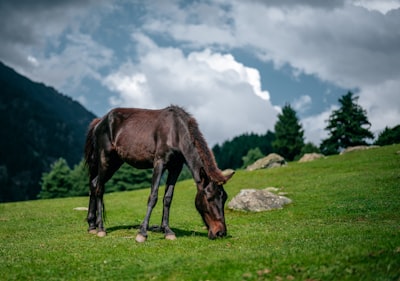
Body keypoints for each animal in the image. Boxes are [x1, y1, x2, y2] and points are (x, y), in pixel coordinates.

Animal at [84, 105, 234, 241]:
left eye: (224, 198)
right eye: (209, 198)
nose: (220, 233)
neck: (176, 132)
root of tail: (100, 121)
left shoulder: (175, 168)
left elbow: (168, 198)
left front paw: (167, 230)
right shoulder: (159, 164)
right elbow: (153, 196)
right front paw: (142, 233)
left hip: (115, 162)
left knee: (94, 184)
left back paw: (92, 225)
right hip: (105, 159)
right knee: (99, 188)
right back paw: (101, 228)